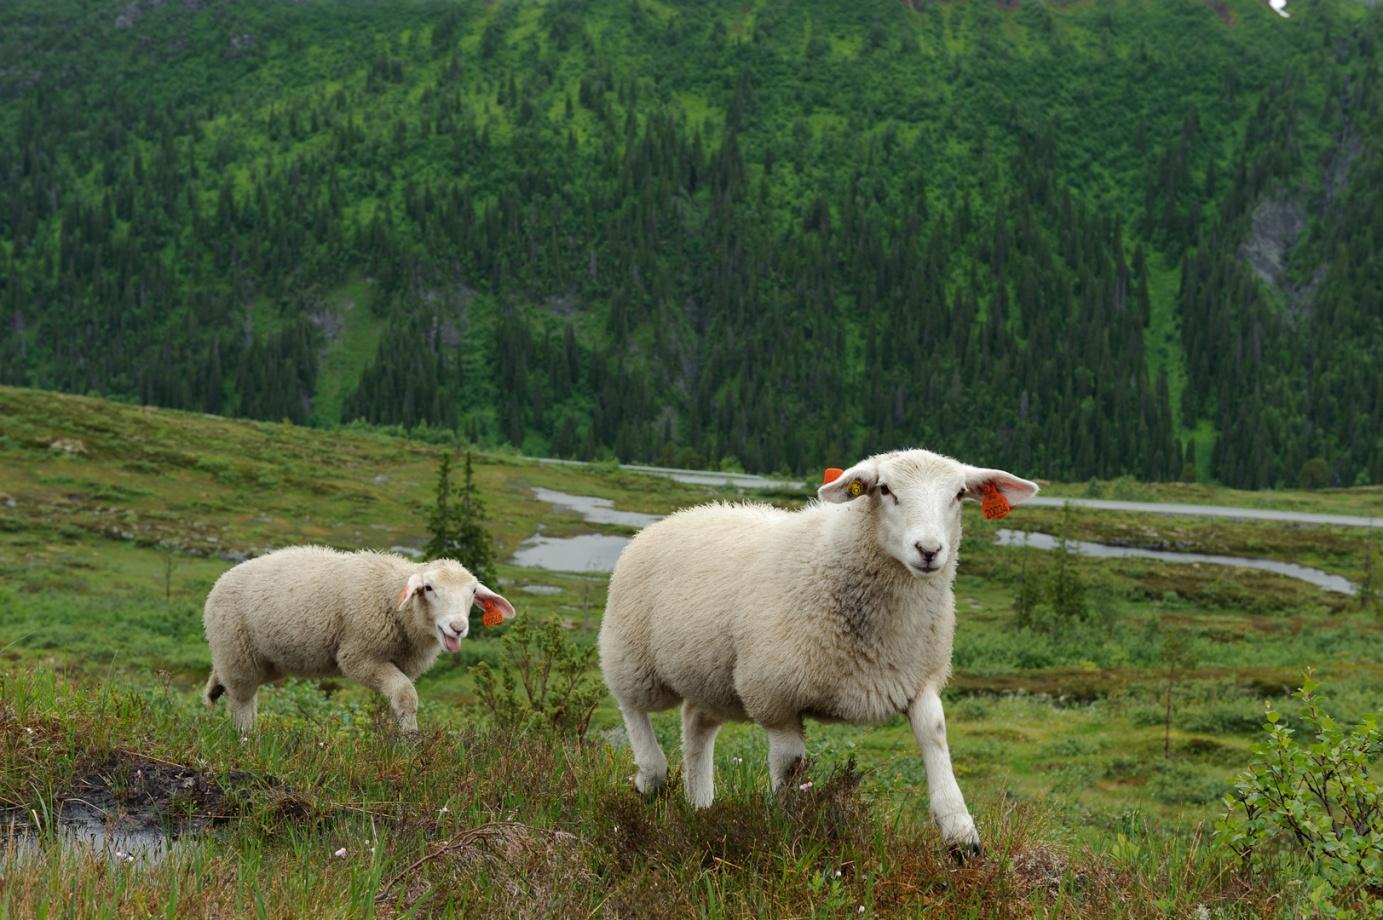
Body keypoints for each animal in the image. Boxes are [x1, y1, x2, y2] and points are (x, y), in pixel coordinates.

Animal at [200, 545, 514, 730]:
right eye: (428, 587)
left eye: (473, 592)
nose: (457, 627)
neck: (391, 597)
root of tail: (220, 580)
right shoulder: (358, 656)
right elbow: (405, 696)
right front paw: (411, 746)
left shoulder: (402, 664)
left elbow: (396, 701)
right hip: (236, 652)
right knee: (242, 703)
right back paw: (246, 739)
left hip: (266, 660)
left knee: (231, 687)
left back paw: (216, 688)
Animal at [594, 448, 1040, 852]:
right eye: (885, 489)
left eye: (959, 493)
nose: (929, 550)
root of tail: (682, 513)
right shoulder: (774, 695)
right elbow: (790, 764)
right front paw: (787, 830)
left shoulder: (916, 677)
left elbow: (934, 732)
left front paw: (960, 833)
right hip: (632, 653)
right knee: (631, 705)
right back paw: (650, 777)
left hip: (713, 679)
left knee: (695, 723)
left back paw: (701, 806)